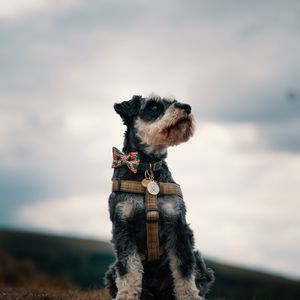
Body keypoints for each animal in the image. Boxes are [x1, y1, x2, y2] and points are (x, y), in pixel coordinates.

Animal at [104, 94, 214, 300]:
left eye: (173, 101)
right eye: (154, 106)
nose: (187, 107)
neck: (147, 168)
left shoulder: (178, 225)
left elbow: (184, 268)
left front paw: (189, 296)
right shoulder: (123, 226)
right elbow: (129, 269)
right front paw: (126, 296)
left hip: (201, 264)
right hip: (110, 272)